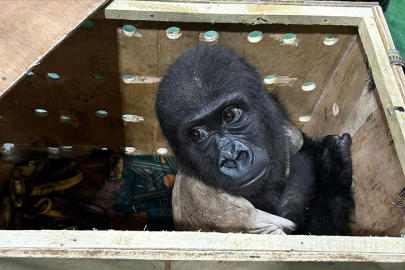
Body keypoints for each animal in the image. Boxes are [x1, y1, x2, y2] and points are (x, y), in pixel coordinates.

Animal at [155, 44, 354, 234]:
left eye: (229, 115)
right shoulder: (224, 210)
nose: (232, 156)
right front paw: (332, 176)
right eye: (196, 135)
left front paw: (331, 168)